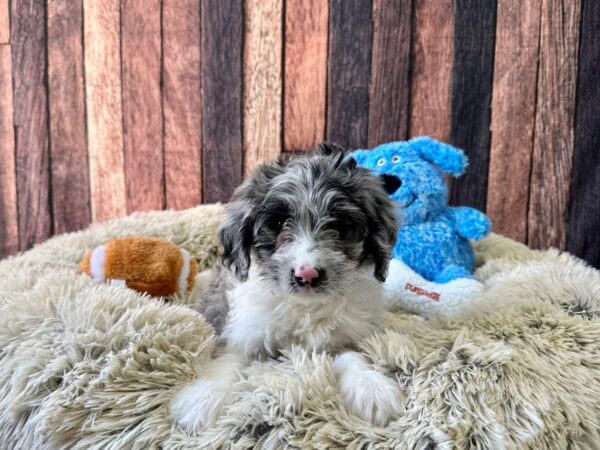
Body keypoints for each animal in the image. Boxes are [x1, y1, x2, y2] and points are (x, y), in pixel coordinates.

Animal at [169, 145, 404, 432]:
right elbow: (227, 361)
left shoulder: (346, 336)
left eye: (339, 225)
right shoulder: (242, 334)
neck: (305, 307)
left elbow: (352, 357)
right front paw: (203, 398)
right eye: (279, 224)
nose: (307, 274)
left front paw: (371, 388)